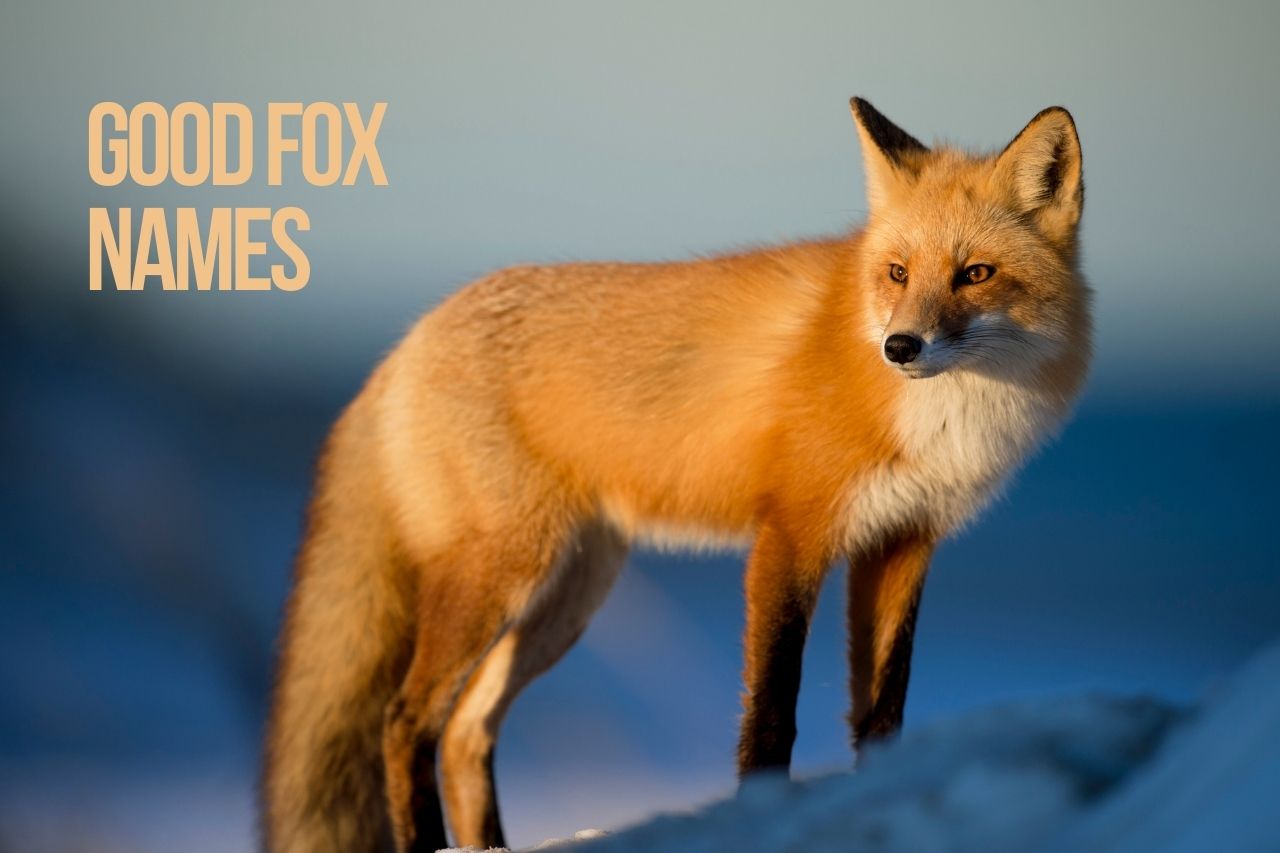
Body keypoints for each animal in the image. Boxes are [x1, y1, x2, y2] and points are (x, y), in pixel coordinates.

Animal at [262, 97, 1091, 852]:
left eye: (975, 274)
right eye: (897, 272)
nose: (901, 346)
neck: (940, 419)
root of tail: (405, 343)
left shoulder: (902, 542)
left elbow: (883, 712)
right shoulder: (790, 535)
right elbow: (772, 712)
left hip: (567, 596)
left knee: (467, 730)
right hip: (502, 575)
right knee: (405, 721)